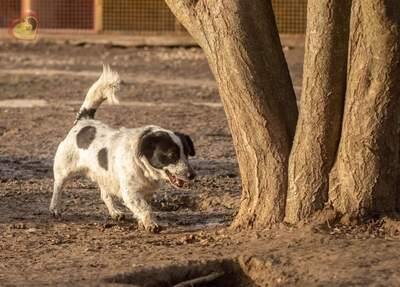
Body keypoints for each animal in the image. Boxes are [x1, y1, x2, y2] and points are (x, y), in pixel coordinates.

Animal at [49, 66, 196, 234]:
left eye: (187, 154)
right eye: (171, 154)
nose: (192, 175)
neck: (143, 166)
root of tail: (84, 120)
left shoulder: (146, 193)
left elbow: (143, 207)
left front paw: (142, 223)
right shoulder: (131, 193)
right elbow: (145, 209)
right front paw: (151, 224)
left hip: (104, 175)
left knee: (104, 194)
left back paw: (115, 212)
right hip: (64, 170)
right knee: (58, 187)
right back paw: (55, 208)